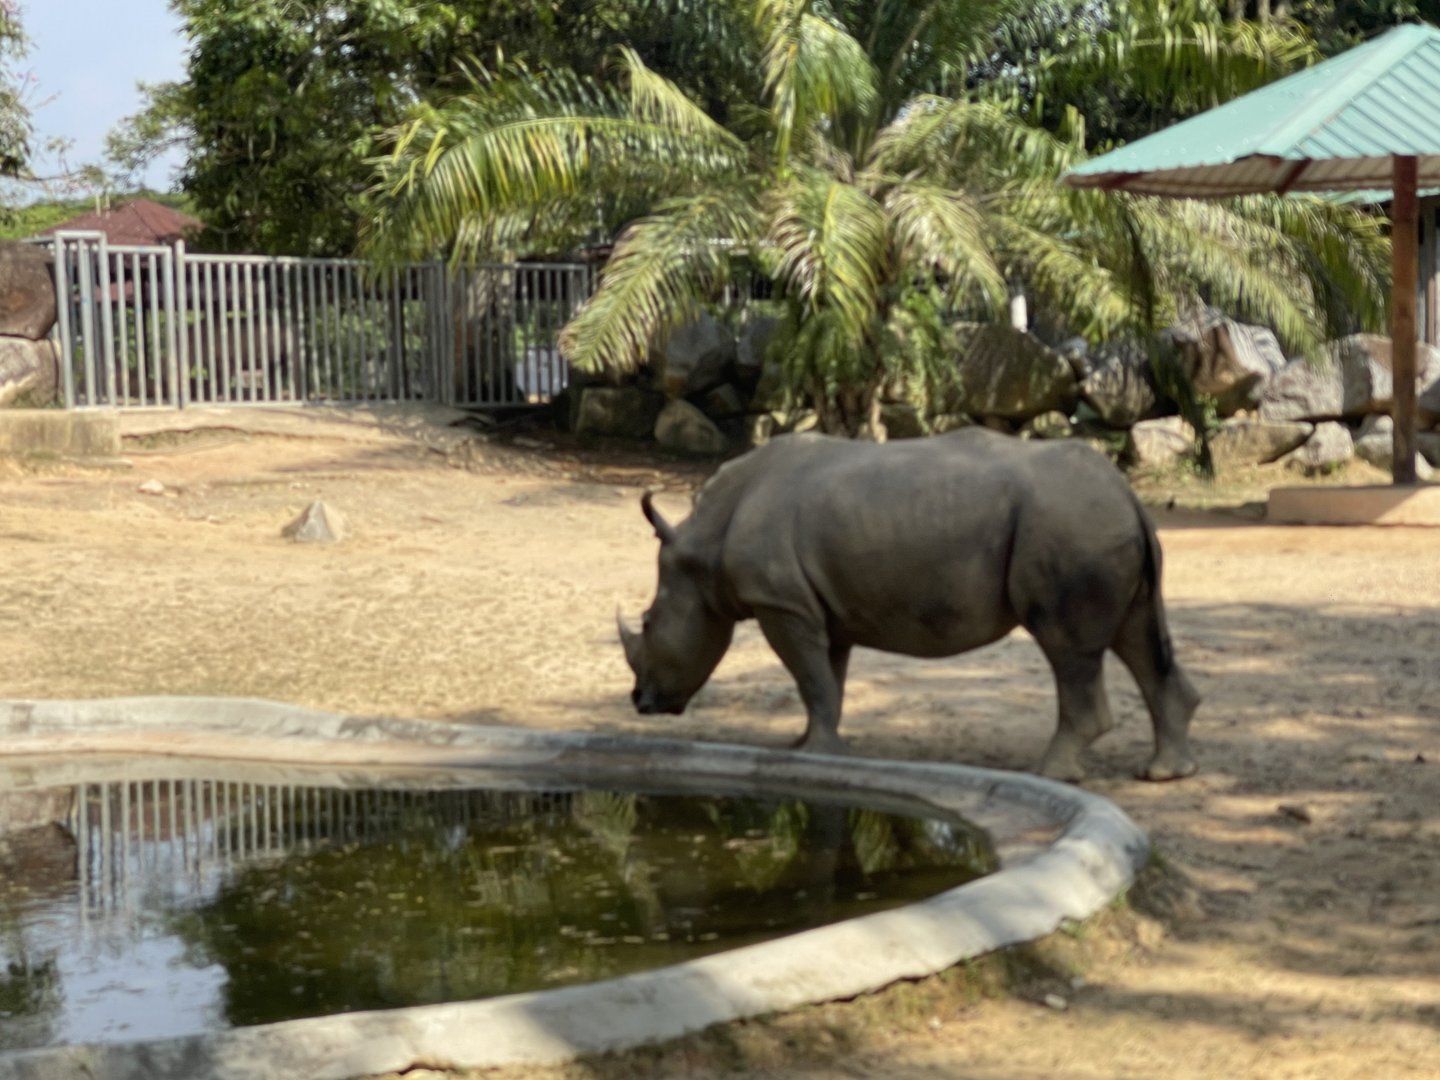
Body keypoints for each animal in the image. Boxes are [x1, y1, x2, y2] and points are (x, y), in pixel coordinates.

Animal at [619, 429, 1200, 782]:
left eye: (645, 623)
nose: (638, 701)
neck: (703, 546)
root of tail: (1130, 497)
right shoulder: (814, 608)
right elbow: (825, 682)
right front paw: (804, 747)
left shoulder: (780, 603)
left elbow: (811, 679)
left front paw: (815, 755)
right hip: (1097, 523)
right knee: (1136, 636)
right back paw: (1164, 772)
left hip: (1070, 525)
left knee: (1067, 647)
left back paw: (1050, 772)